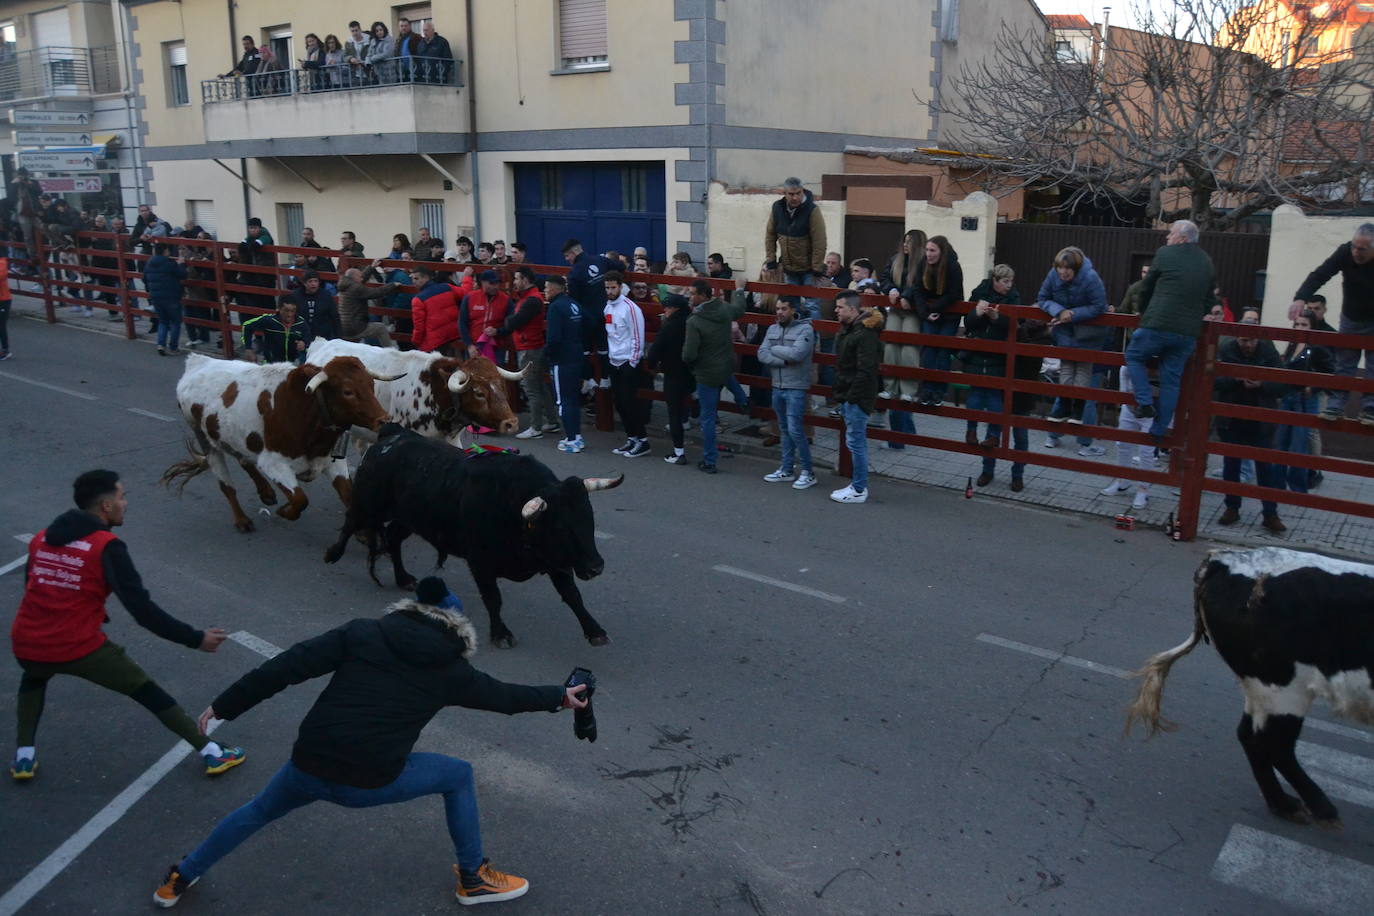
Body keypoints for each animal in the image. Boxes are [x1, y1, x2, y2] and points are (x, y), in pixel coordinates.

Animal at [164, 354, 398, 532]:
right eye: (347, 391)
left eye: (371, 385)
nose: (383, 419)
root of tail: (197, 361)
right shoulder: (273, 463)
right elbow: (300, 500)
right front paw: (285, 511)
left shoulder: (332, 462)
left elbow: (349, 496)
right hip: (206, 440)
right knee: (227, 486)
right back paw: (242, 520)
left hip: (233, 436)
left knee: (244, 459)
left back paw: (266, 493)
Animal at [321, 425, 623, 648]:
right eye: (561, 527)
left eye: (589, 520)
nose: (596, 567)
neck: (513, 508)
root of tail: (392, 436)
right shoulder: (481, 563)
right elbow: (493, 597)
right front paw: (501, 634)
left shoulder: (555, 561)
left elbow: (572, 595)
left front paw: (595, 631)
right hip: (368, 503)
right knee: (350, 523)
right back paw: (333, 554)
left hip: (411, 519)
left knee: (393, 537)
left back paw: (404, 578)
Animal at [1126, 549, 1374, 834]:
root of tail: (1222, 561)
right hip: (1282, 687)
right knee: (1275, 744)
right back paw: (1317, 808)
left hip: (1260, 687)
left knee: (1249, 735)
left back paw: (1284, 805)